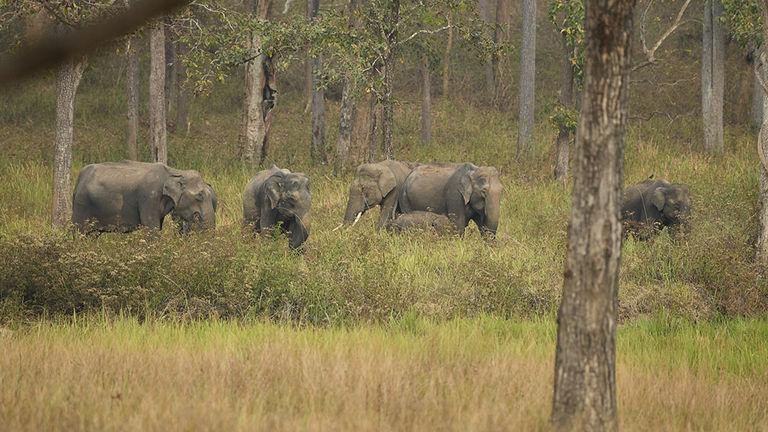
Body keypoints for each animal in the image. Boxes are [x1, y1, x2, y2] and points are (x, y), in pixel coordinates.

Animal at [72, 159, 218, 233]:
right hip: (81, 205)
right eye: (199, 195)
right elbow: (152, 228)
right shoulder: (149, 198)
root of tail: (80, 177)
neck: (174, 171)